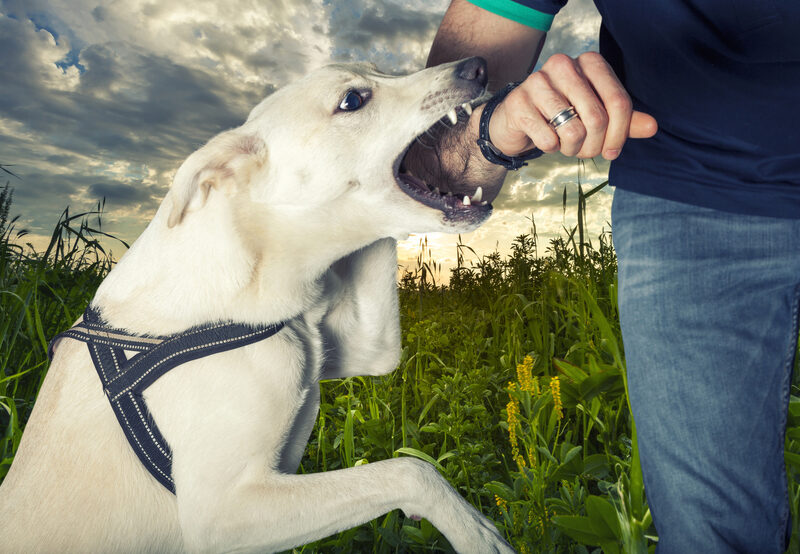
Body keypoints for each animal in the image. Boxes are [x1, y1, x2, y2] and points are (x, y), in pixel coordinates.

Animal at [0, 58, 512, 548]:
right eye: (352, 99)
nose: (478, 65)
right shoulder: (226, 514)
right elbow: (409, 470)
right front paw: (477, 532)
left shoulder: (366, 348)